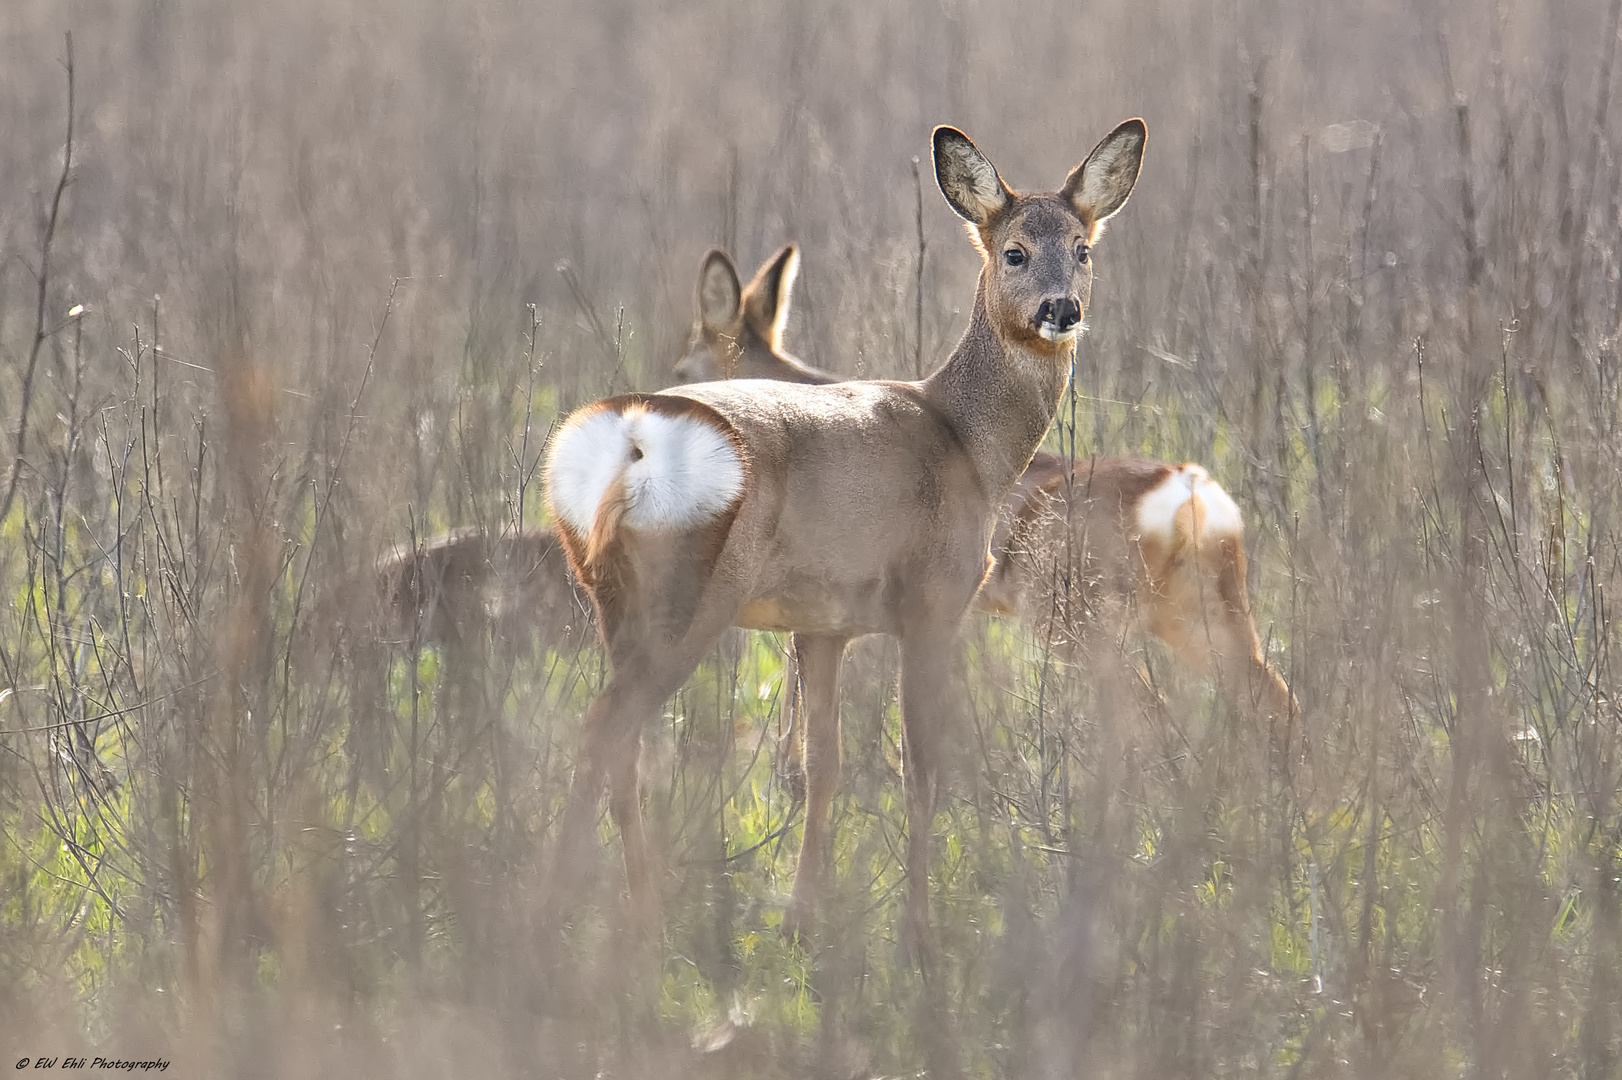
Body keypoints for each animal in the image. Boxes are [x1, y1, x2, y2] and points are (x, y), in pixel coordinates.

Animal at [544, 117, 1154, 940]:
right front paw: (920, 930)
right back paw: (584, 914)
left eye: (1084, 248)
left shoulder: (822, 623)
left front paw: (803, 916)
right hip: (691, 595)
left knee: (622, 744)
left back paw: (625, 909)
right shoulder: (933, 600)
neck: (969, 443)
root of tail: (627, 439)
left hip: (610, 596)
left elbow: (821, 764)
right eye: (1014, 251)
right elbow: (919, 767)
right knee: (605, 728)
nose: (1062, 309)